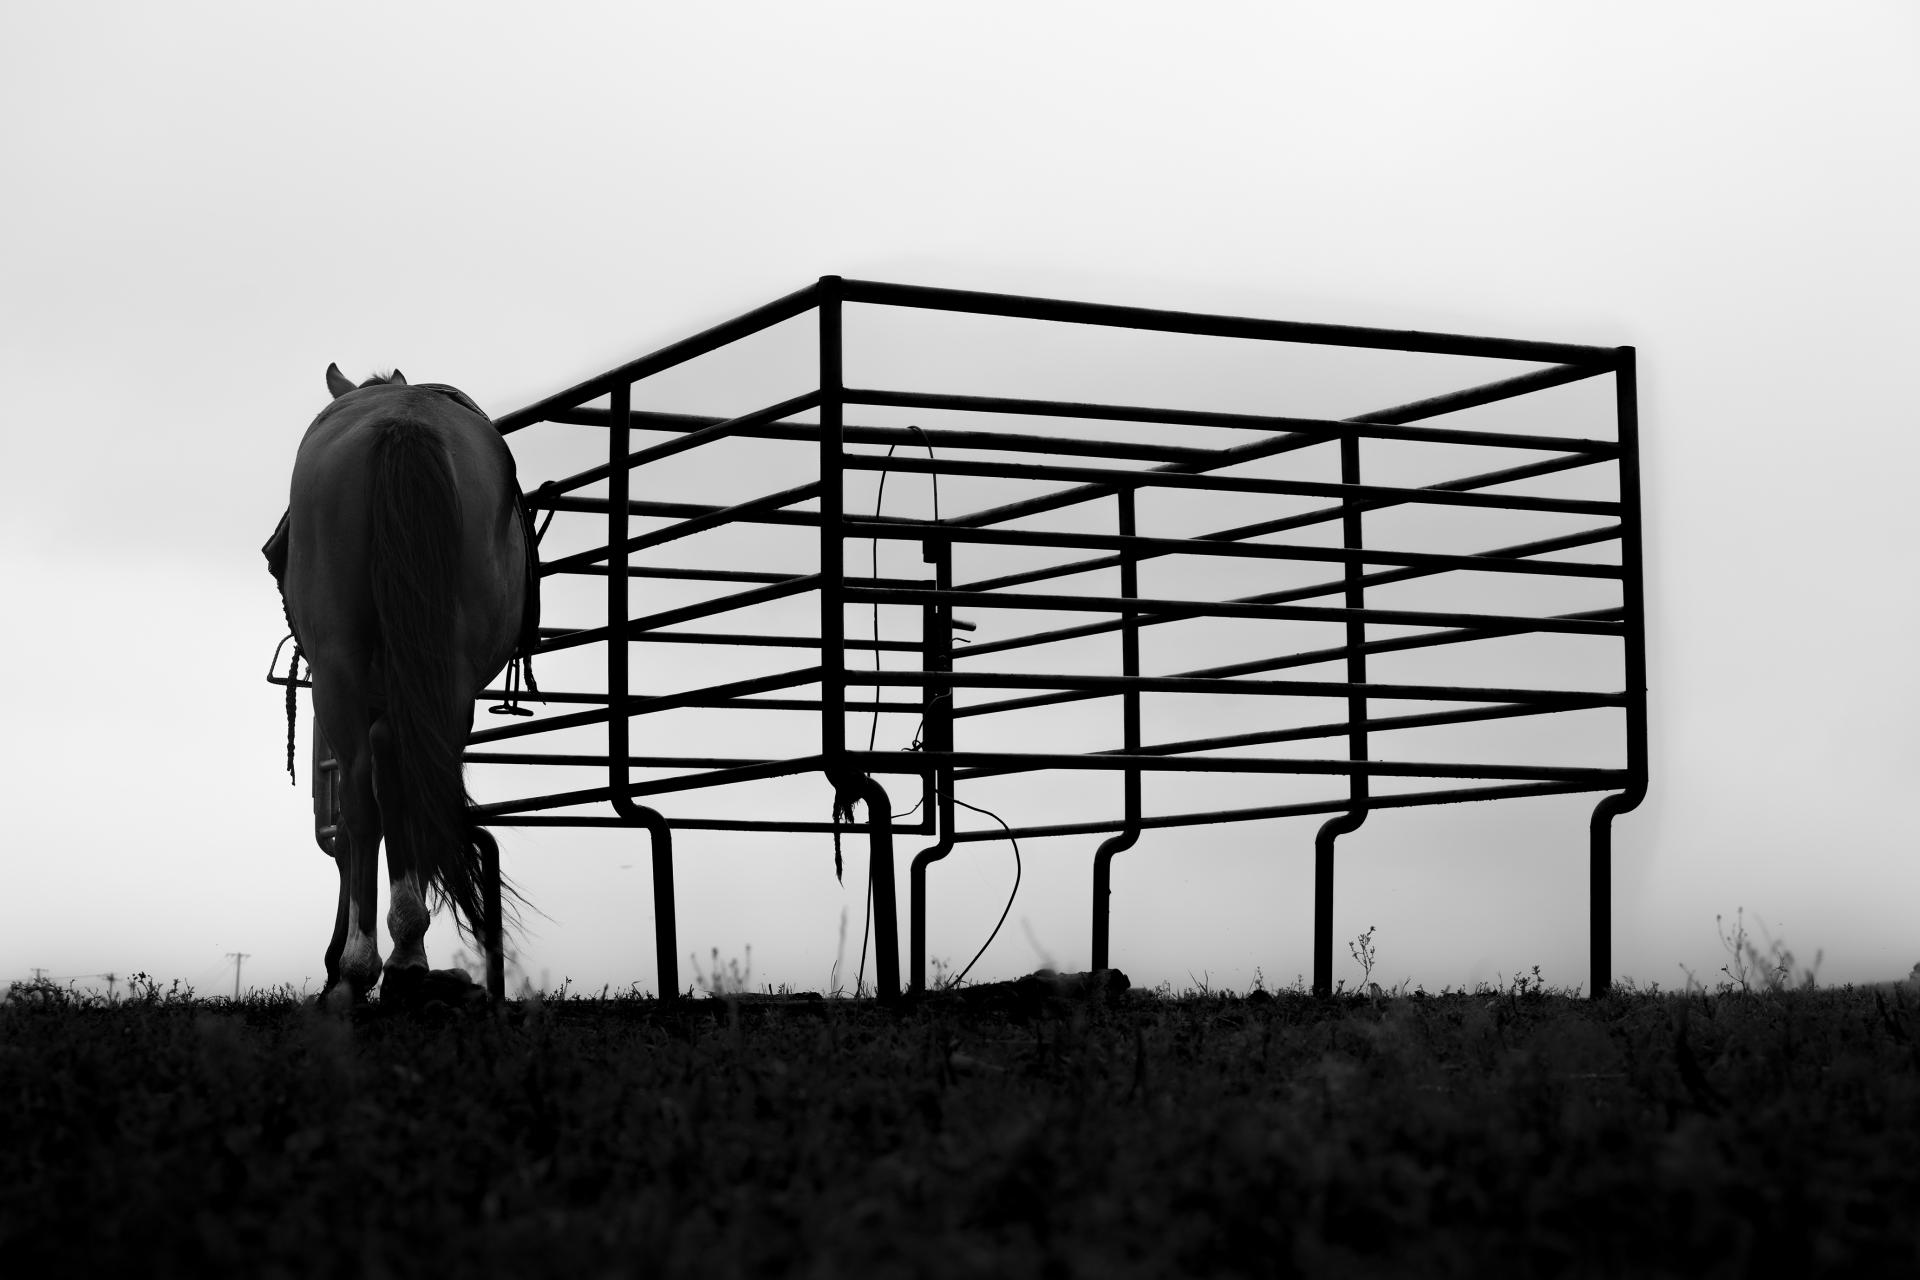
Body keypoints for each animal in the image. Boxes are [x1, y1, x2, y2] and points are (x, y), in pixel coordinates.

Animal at [267, 364, 535, 1008]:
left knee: (366, 794)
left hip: (337, 670)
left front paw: (346, 962)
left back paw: (362, 965)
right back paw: (407, 957)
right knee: (407, 773)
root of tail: (405, 422)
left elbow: (358, 817)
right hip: (450, 675)